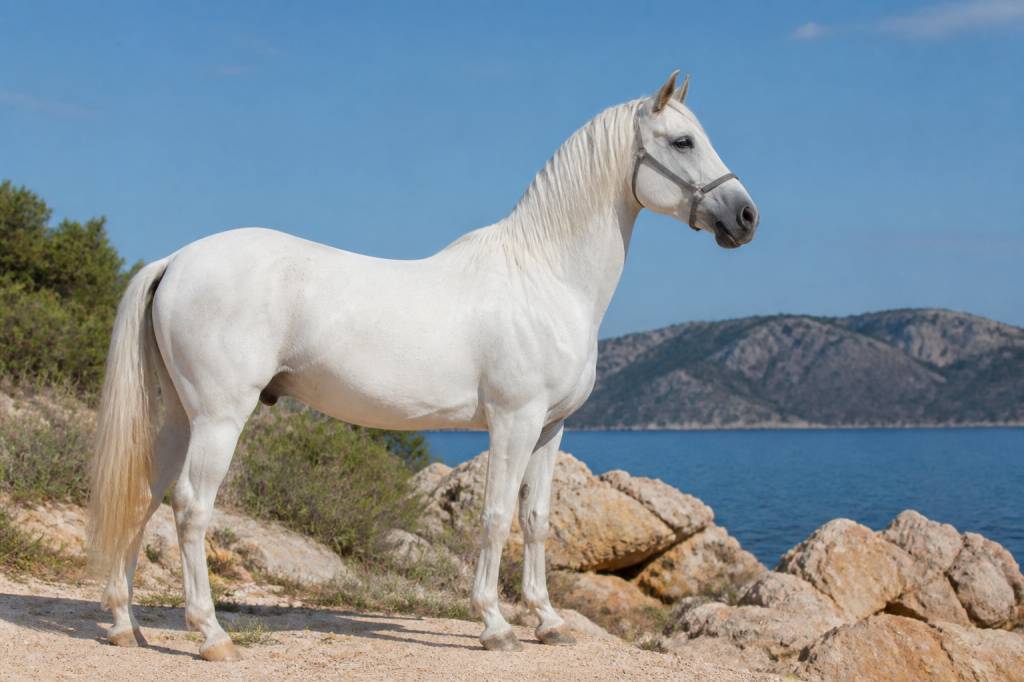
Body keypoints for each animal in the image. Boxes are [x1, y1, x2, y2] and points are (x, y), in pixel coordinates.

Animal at [88, 70, 759, 660]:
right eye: (683, 141)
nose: (745, 217)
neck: (544, 275)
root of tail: (176, 260)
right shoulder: (513, 421)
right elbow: (495, 517)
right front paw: (495, 625)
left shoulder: (550, 428)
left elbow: (537, 520)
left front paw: (547, 621)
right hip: (220, 417)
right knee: (190, 507)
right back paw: (211, 635)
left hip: (179, 416)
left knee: (144, 495)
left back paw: (125, 625)